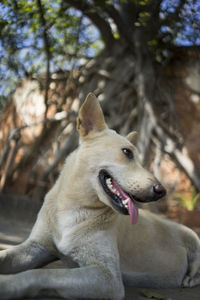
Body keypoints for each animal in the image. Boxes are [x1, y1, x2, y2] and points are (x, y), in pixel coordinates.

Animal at [0, 92, 200, 298]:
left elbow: (42, 274)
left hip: (194, 238)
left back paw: (190, 280)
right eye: (127, 152)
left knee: (195, 269)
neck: (73, 206)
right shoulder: (37, 247)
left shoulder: (107, 276)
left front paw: (6, 284)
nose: (162, 191)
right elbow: (7, 256)